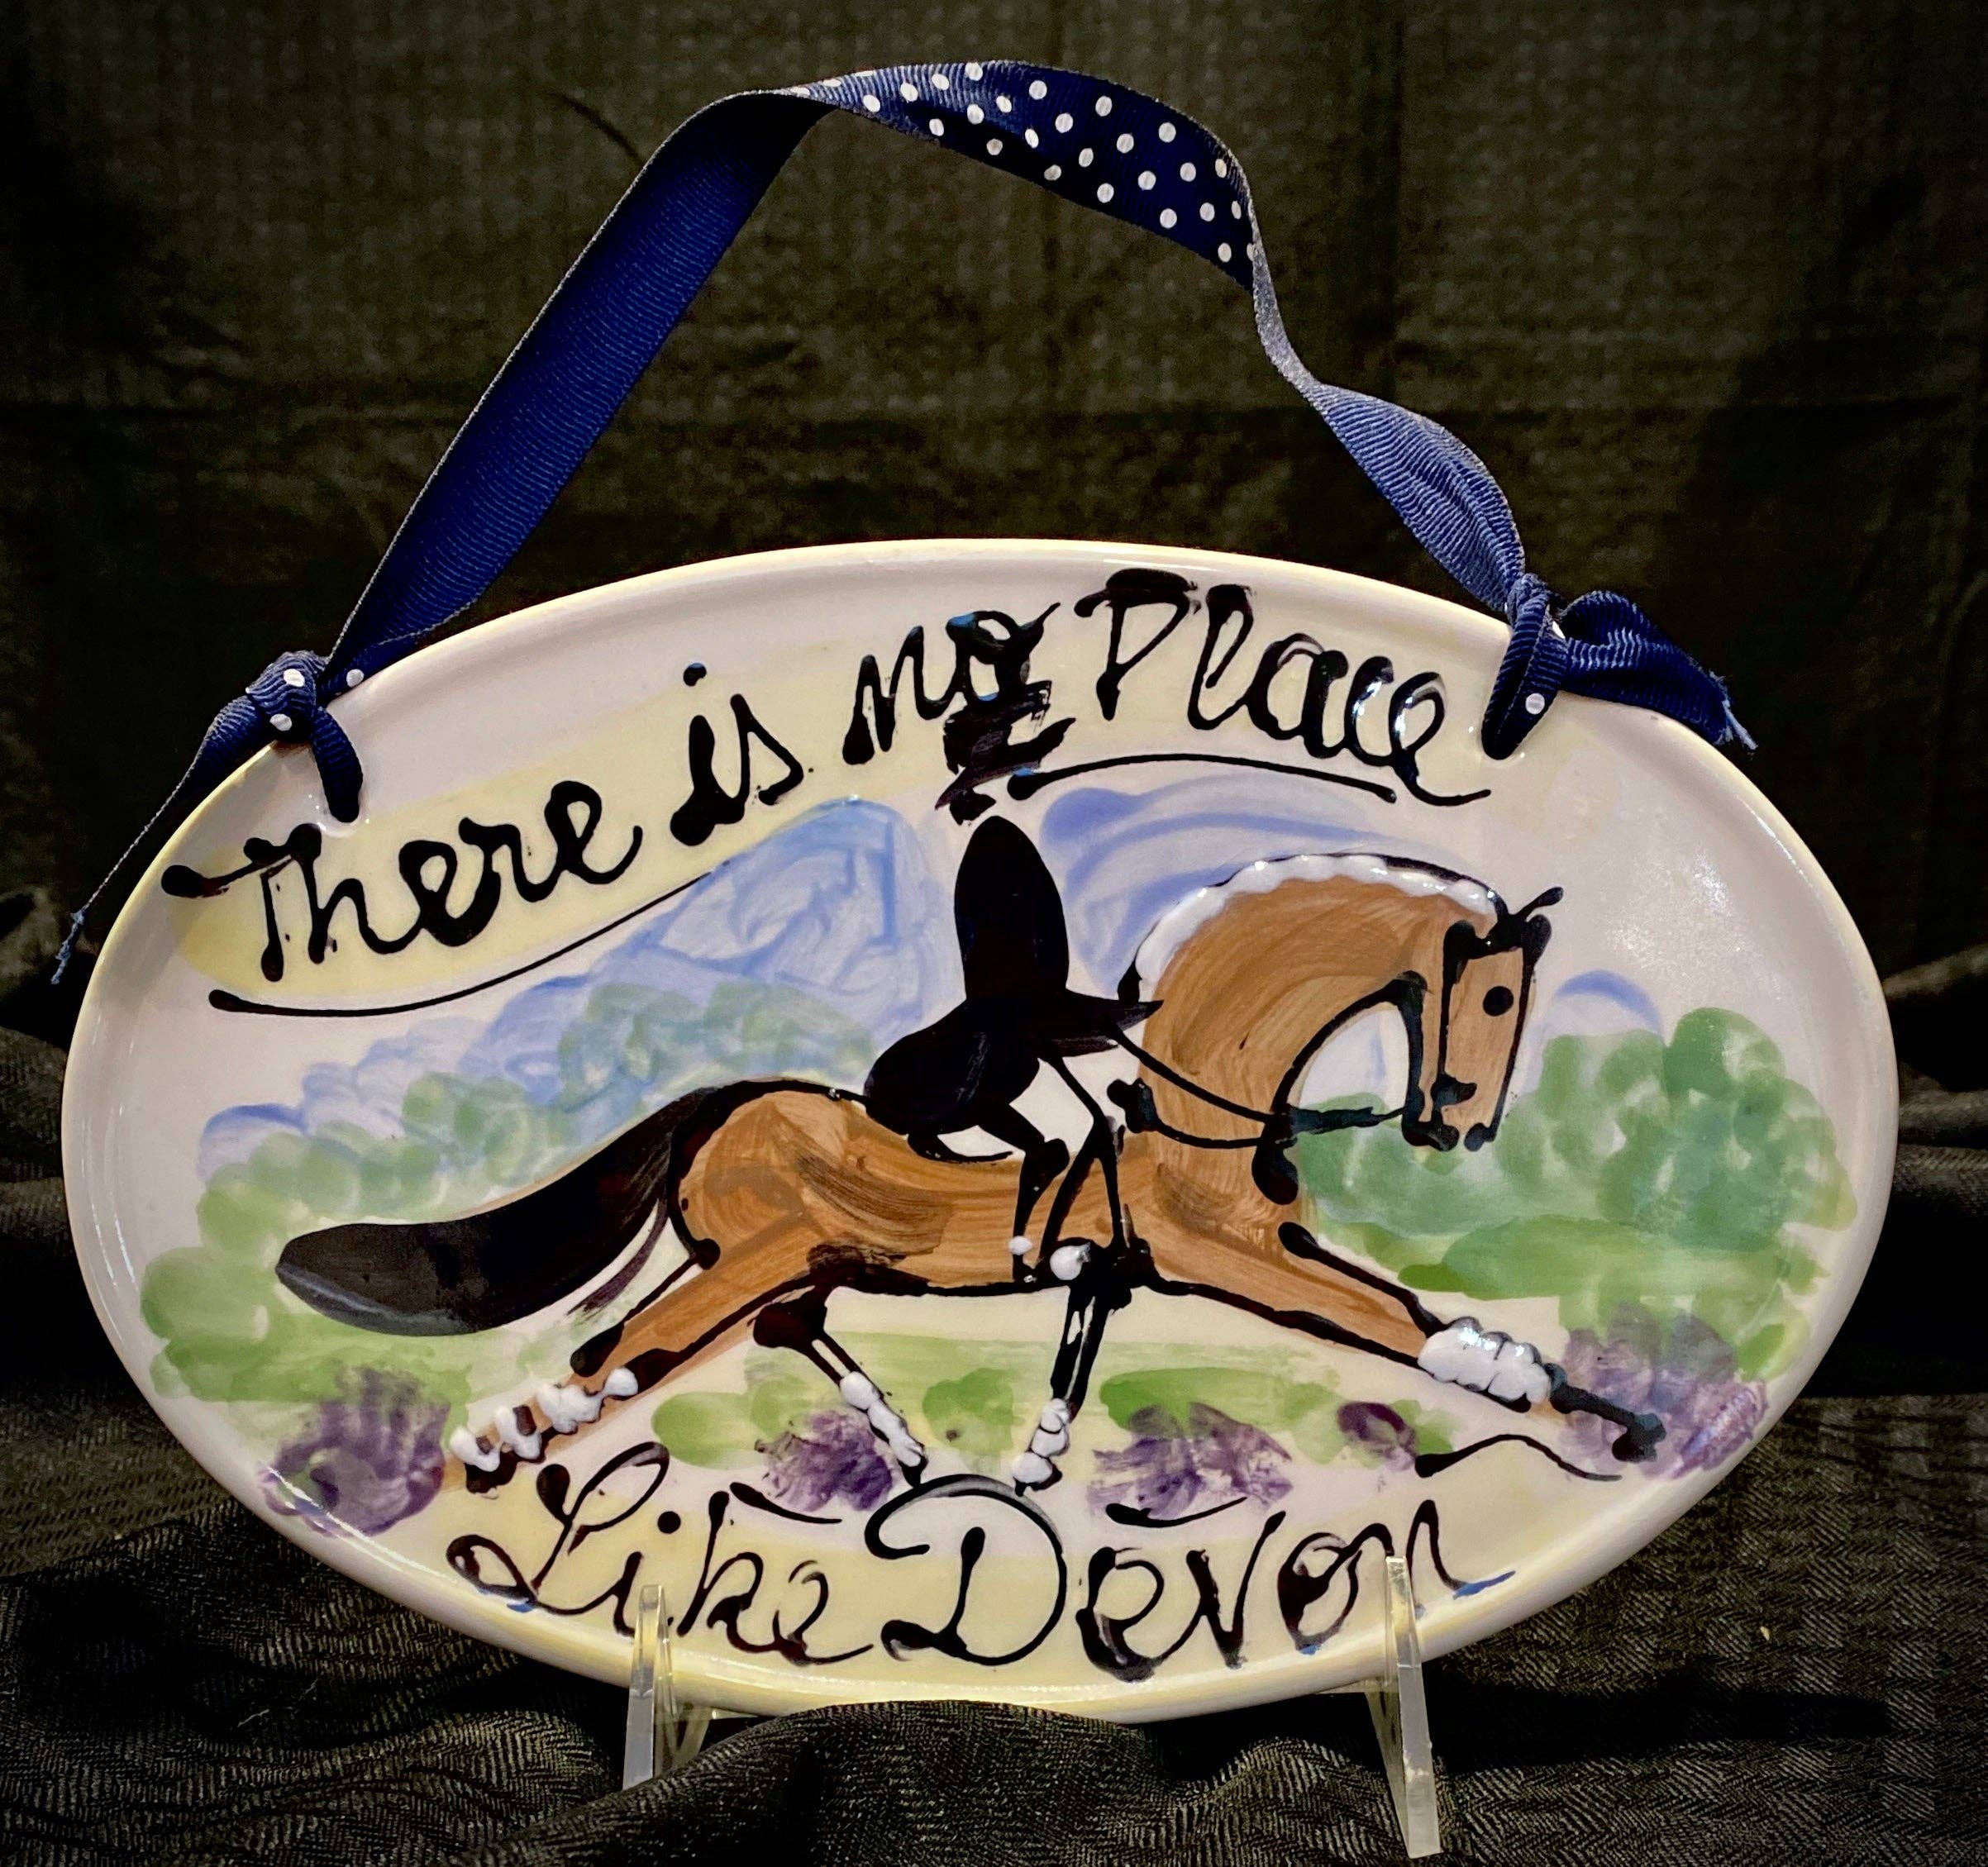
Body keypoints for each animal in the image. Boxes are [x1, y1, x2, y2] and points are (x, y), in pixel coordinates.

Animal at [275, 848, 1664, 1494]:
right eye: (1493, 993)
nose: (1461, 1128)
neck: (1193, 1101)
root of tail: (719, 1104)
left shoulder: (1195, 1257)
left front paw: (1037, 1458)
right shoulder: (1235, 1258)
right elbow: (1404, 1327)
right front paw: (1594, 1410)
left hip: (803, 1266)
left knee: (781, 1331)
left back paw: (908, 1454)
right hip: (746, 1261)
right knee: (615, 1353)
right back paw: (493, 1445)